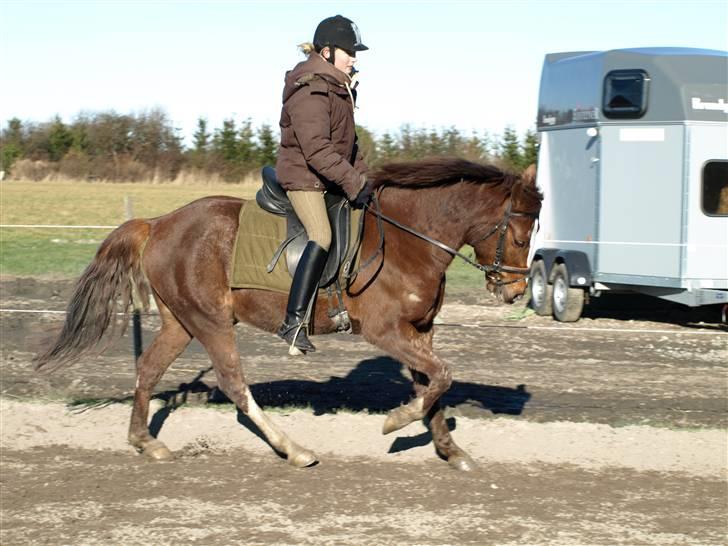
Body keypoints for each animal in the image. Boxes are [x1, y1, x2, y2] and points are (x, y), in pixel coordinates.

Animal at [37, 156, 544, 468]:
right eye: (521, 235)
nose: (516, 291)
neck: (408, 238)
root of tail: (159, 222)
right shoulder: (386, 331)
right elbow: (441, 377)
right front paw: (396, 422)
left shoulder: (421, 330)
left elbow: (434, 386)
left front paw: (450, 451)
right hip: (210, 321)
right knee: (233, 383)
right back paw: (294, 449)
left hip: (181, 322)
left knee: (148, 369)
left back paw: (146, 443)